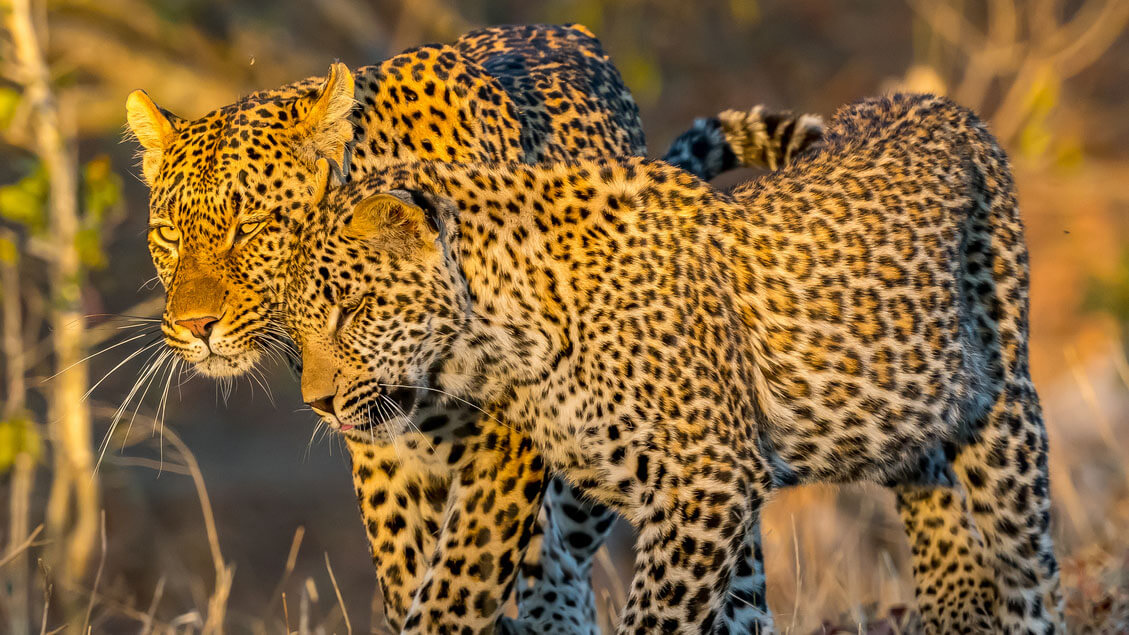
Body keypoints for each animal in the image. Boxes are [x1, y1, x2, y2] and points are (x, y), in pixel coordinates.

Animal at [125, 21, 830, 632]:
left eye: (250, 226)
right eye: (167, 235)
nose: (195, 326)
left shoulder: (509, 437)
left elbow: (463, 576)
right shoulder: (380, 440)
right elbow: (407, 570)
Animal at [286, 93, 1061, 632]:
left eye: (351, 308)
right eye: (298, 327)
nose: (317, 403)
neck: (507, 339)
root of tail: (938, 104)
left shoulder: (704, 484)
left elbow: (655, 620)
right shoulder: (695, 499)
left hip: (1004, 416)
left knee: (1031, 571)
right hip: (897, 407)